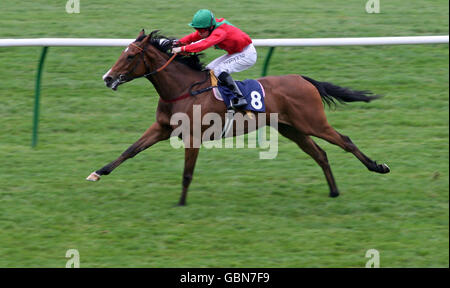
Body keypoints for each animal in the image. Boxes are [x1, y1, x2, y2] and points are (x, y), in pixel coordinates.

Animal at [86, 28, 388, 205]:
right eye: (123, 53)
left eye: (130, 56)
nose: (107, 78)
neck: (182, 89)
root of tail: (303, 79)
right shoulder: (161, 128)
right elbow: (130, 150)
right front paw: (97, 173)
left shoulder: (193, 137)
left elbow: (187, 173)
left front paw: (181, 202)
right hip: (292, 129)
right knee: (320, 154)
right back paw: (334, 191)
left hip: (313, 122)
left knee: (345, 141)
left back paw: (378, 167)